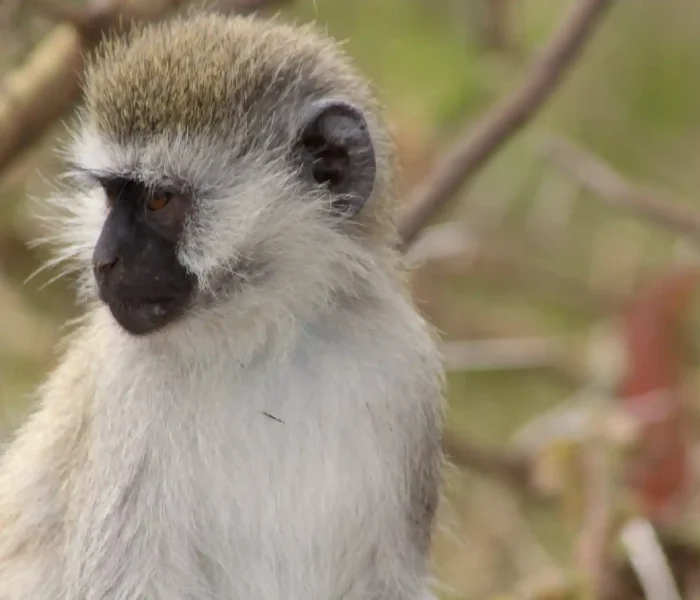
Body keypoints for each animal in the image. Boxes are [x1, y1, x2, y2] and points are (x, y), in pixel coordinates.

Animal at [0, 11, 445, 600]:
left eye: (158, 199)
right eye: (113, 196)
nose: (104, 260)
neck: (264, 336)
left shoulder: (403, 368)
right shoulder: (126, 390)